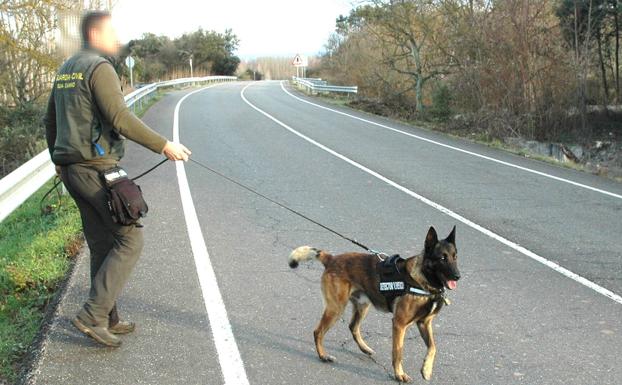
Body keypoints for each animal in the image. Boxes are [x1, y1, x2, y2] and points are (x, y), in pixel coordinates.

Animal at [290, 225, 460, 380]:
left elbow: (433, 347)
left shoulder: (424, 323)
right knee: (318, 332)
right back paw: (323, 356)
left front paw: (426, 369)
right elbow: (398, 352)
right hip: (336, 308)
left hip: (362, 306)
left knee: (352, 327)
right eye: (442, 258)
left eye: (455, 257)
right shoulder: (399, 324)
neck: (424, 281)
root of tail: (332, 259)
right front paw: (399, 374)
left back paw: (364, 348)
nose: (458, 276)